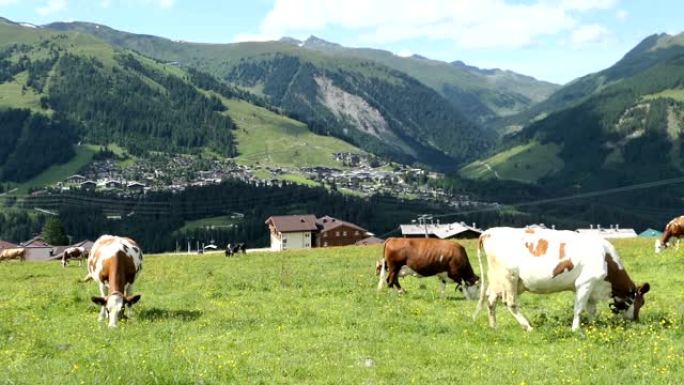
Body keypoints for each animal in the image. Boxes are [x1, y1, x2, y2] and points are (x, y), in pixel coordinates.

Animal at [472, 226, 648, 332]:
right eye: (640, 303)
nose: (636, 320)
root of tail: (488, 232)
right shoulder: (585, 283)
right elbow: (579, 308)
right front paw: (576, 329)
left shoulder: (592, 287)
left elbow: (592, 310)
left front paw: (593, 325)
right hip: (509, 278)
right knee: (510, 303)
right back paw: (528, 327)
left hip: (498, 281)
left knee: (491, 299)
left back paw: (493, 326)